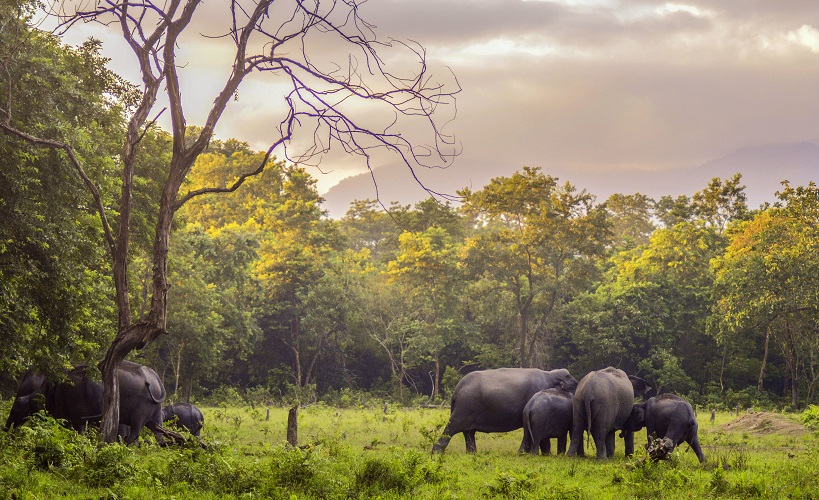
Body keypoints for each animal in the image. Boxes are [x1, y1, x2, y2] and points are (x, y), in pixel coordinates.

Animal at [432, 368, 580, 454]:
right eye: (575, 384)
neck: (549, 374)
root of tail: (457, 389)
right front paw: (545, 454)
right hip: (465, 407)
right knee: (452, 428)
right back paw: (436, 453)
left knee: (469, 433)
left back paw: (472, 454)